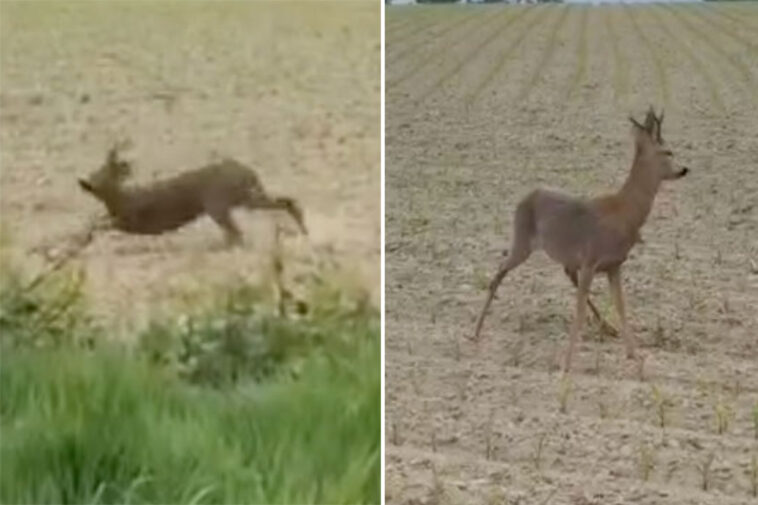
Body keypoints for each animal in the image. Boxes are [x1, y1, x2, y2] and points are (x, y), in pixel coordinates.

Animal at [78, 143, 308, 246]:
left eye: (105, 170)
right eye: (97, 170)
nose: (84, 182)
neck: (121, 199)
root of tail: (248, 172)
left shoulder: (132, 221)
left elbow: (97, 225)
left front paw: (75, 246)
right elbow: (94, 221)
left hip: (219, 204)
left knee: (237, 233)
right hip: (243, 198)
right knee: (286, 201)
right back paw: (302, 231)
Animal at [472, 107, 689, 373]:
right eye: (666, 151)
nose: (683, 169)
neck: (625, 212)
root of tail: (526, 197)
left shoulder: (614, 265)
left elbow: (621, 306)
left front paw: (634, 356)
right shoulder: (590, 259)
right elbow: (579, 309)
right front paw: (567, 363)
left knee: (562, 274)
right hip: (522, 241)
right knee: (500, 270)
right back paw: (476, 330)